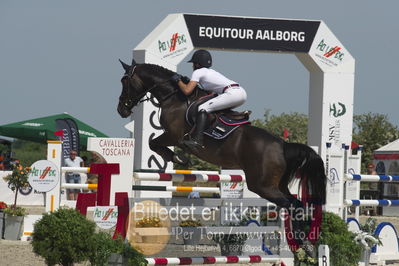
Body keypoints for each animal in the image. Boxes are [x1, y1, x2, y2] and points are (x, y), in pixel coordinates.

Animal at [117, 58, 326, 241]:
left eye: (124, 81)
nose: (121, 110)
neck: (175, 97)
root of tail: (283, 145)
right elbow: (154, 144)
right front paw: (178, 158)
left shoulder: (172, 135)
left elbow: (153, 143)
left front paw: (177, 158)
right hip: (277, 184)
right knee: (296, 203)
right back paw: (303, 243)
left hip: (262, 186)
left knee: (291, 205)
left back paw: (301, 243)